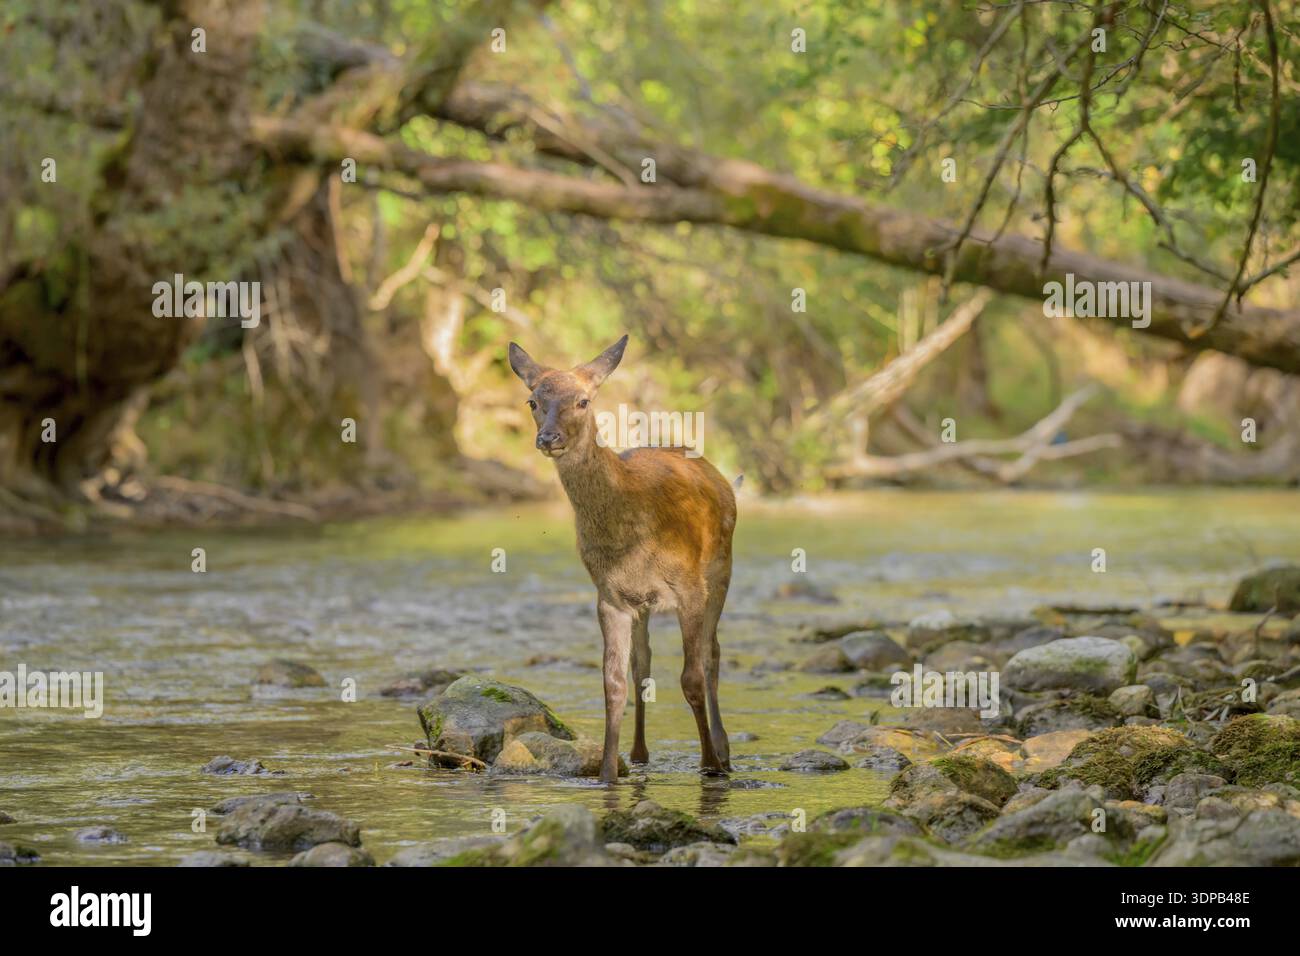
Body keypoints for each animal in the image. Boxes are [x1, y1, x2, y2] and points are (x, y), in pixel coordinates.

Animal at [508, 335, 737, 784]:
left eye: (583, 400)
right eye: (533, 400)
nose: (548, 438)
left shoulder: (689, 587)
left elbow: (692, 676)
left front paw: (709, 765)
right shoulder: (610, 595)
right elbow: (614, 683)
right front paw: (607, 774)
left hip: (721, 570)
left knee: (712, 652)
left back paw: (723, 750)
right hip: (645, 603)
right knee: (642, 663)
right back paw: (640, 753)